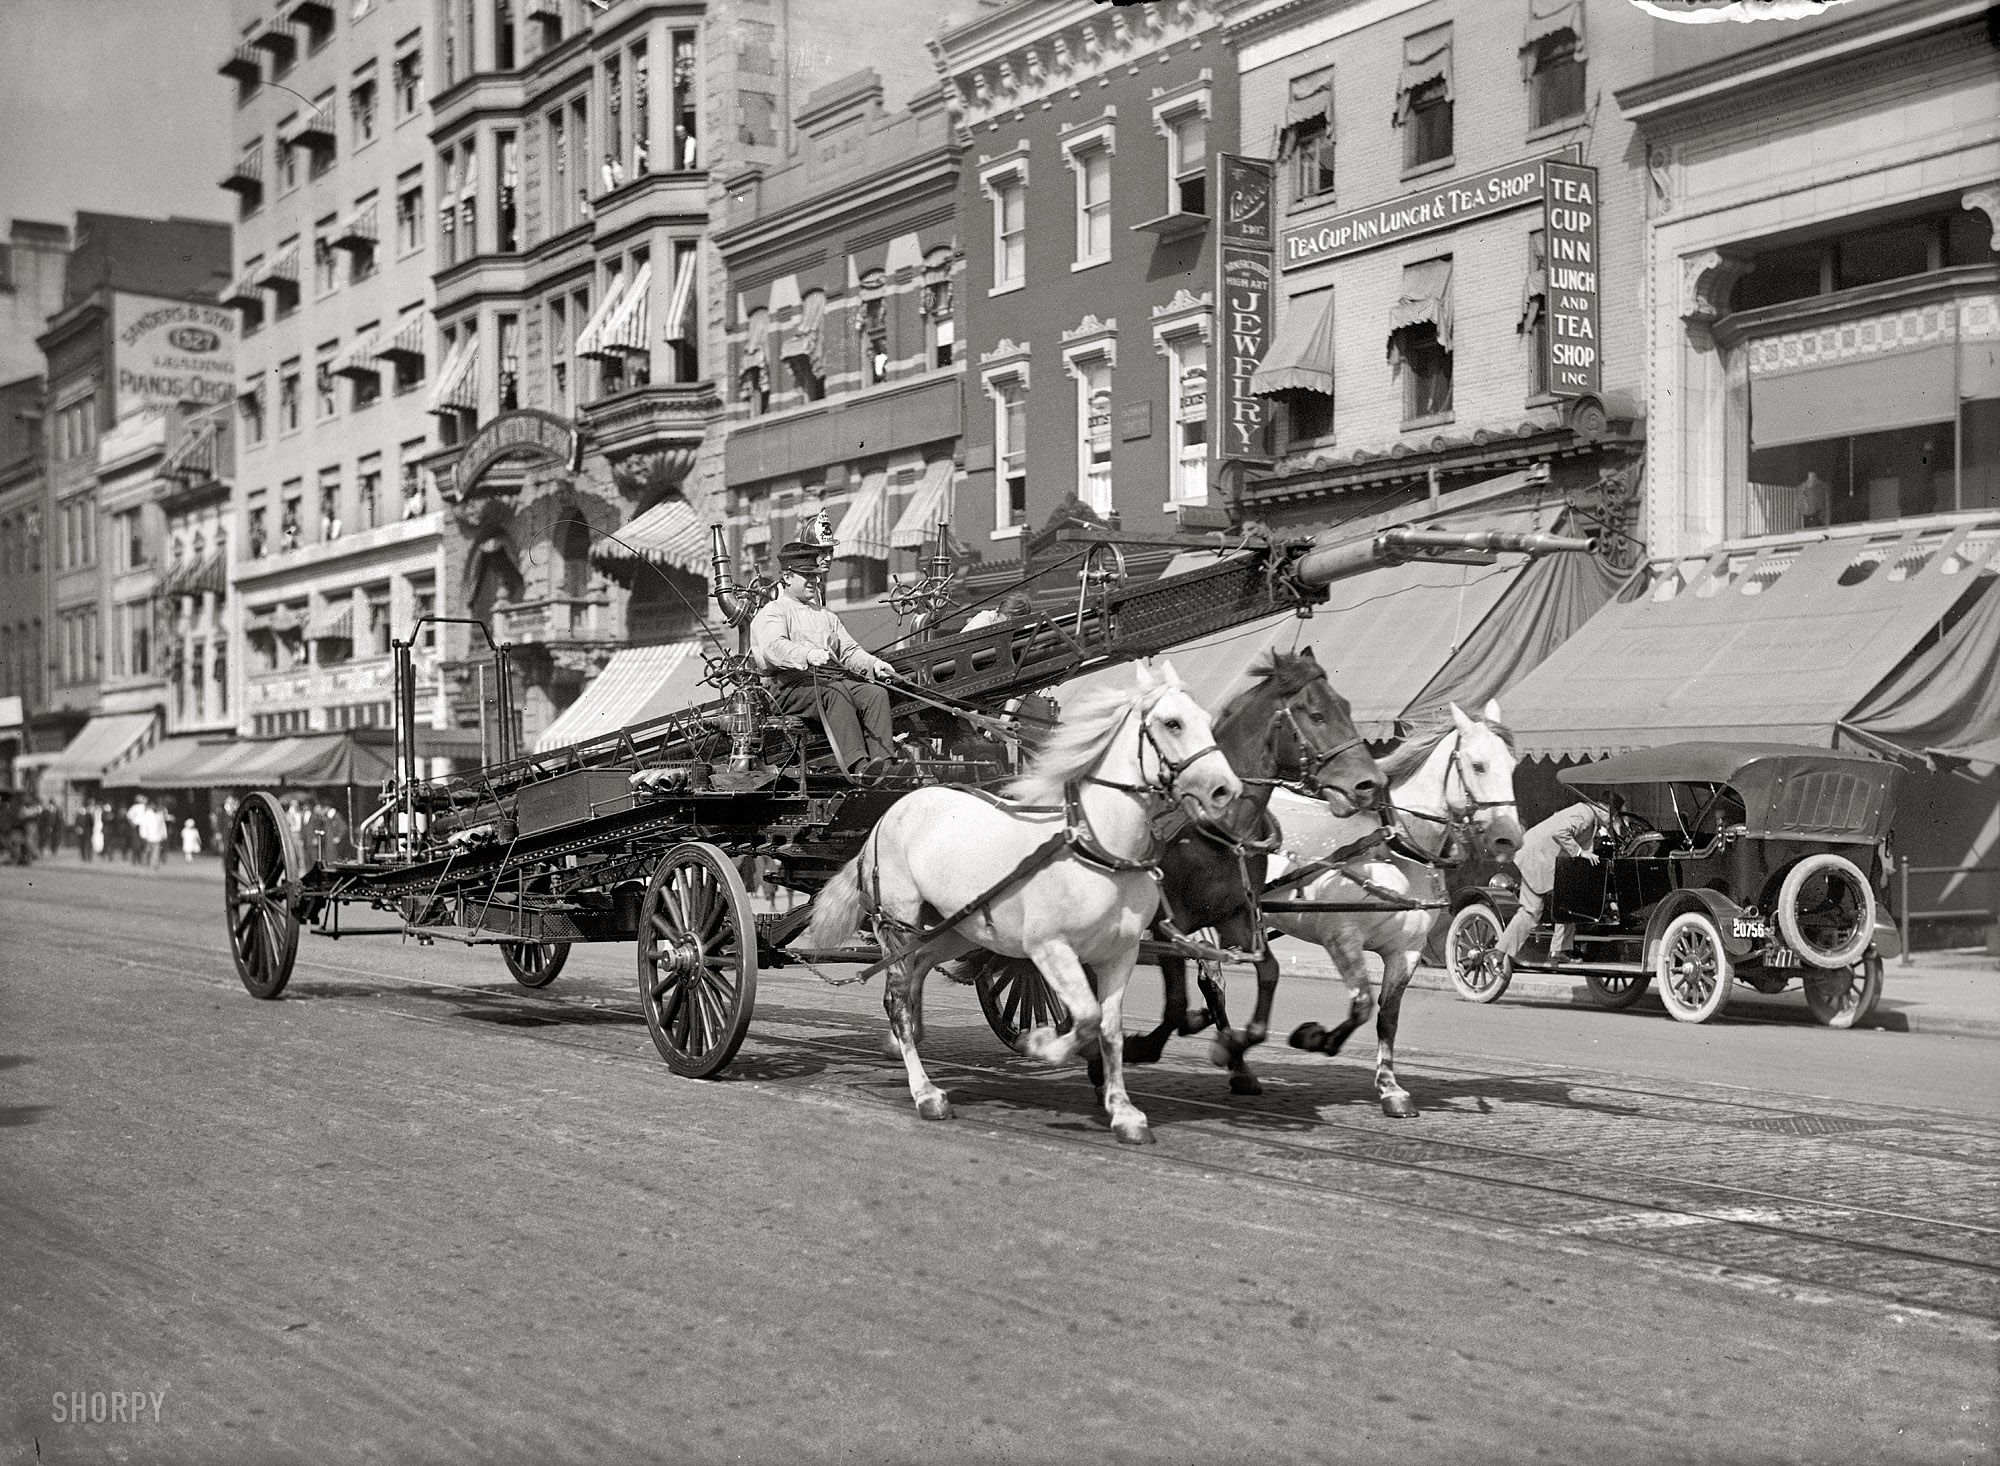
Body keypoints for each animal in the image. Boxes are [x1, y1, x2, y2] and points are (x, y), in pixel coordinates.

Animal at [803, 659, 1242, 1145]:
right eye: (1172, 723)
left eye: (1206, 719)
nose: (1226, 790)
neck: (1099, 849)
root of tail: (890, 812)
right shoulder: (1050, 948)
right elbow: (1086, 1018)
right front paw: (1041, 1044)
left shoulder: (1121, 952)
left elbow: (1110, 1029)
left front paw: (1123, 1111)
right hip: (896, 923)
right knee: (896, 998)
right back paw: (925, 1091)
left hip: (957, 928)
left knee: (917, 973)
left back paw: (904, 1039)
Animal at [1268, 701, 1524, 1118]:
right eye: (1479, 765)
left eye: (1513, 766)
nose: (1510, 838)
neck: (1392, 846)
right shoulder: (1341, 938)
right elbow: (1361, 1005)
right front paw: (1315, 1038)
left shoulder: (1407, 950)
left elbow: (1387, 1017)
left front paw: (1390, 1088)